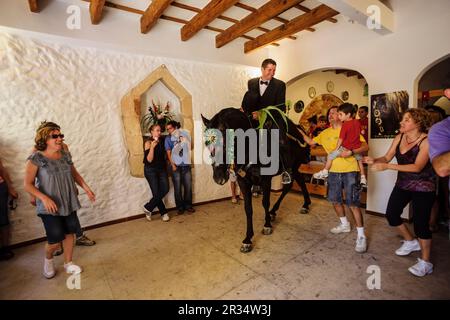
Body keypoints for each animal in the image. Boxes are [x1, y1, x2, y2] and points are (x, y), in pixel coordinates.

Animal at [202, 107, 312, 252]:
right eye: (207, 143)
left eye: (225, 143)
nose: (218, 177)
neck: (250, 150)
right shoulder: (243, 182)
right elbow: (248, 209)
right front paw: (248, 239)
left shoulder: (266, 181)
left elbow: (265, 202)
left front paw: (267, 226)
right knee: (299, 181)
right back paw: (298, 206)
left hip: (293, 166)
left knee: (292, 183)